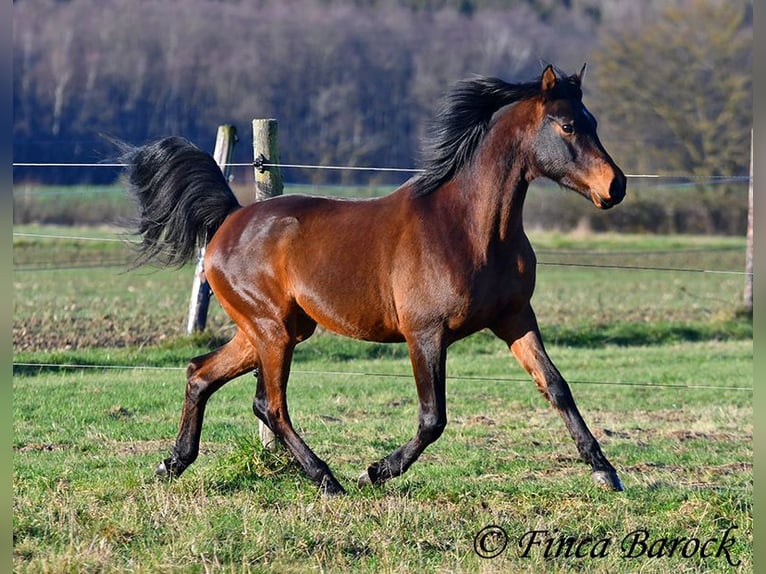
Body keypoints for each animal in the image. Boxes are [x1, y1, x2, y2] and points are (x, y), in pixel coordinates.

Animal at [126, 62, 628, 496]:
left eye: (593, 121)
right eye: (567, 126)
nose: (616, 186)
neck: (469, 229)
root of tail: (229, 218)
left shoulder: (515, 318)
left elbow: (557, 388)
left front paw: (605, 472)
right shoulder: (425, 333)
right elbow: (433, 418)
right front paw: (376, 471)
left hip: (274, 330)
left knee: (201, 374)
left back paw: (172, 463)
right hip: (272, 332)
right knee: (270, 405)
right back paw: (327, 479)